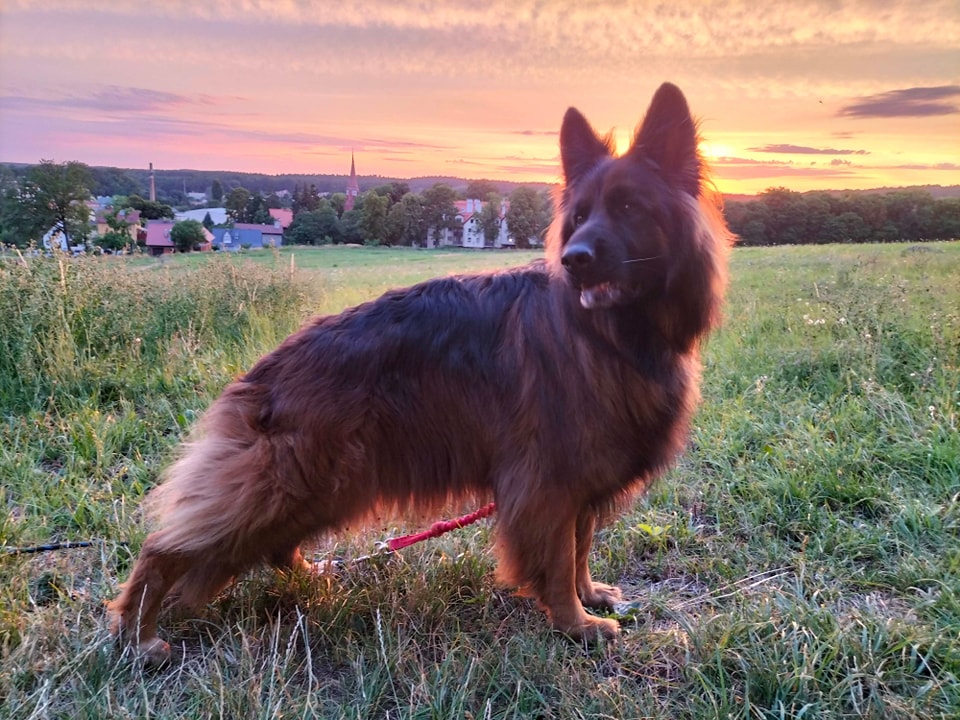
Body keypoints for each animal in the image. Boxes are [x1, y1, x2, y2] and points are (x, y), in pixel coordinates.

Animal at [109, 82, 732, 662]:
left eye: (628, 208)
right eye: (578, 217)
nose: (574, 259)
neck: (611, 335)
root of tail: (263, 372)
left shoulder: (579, 478)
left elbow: (579, 548)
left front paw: (588, 596)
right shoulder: (547, 482)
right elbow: (557, 558)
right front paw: (573, 623)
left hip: (322, 485)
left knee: (272, 545)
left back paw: (312, 579)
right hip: (288, 483)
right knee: (165, 549)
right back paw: (139, 635)